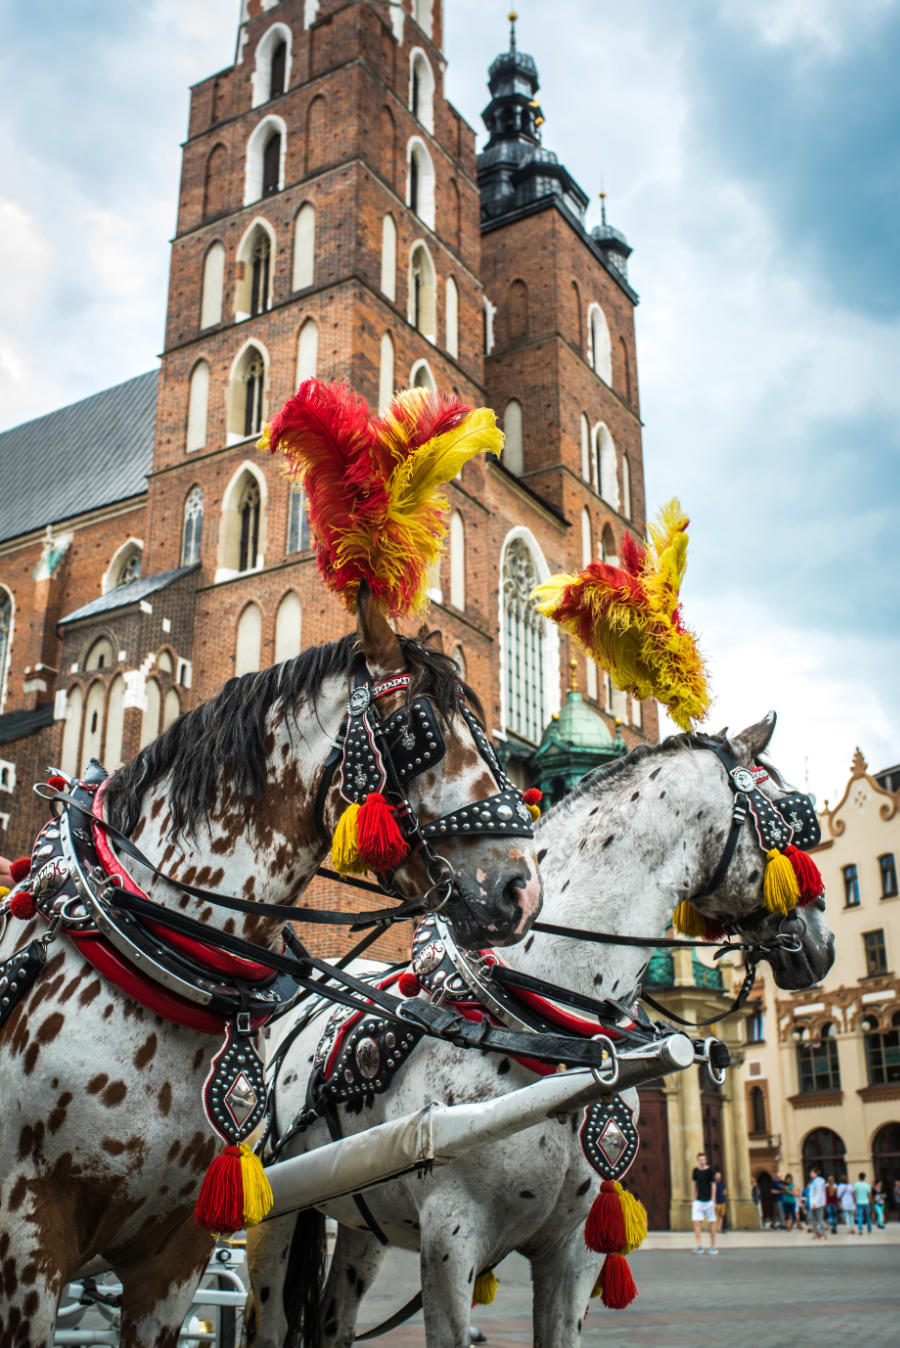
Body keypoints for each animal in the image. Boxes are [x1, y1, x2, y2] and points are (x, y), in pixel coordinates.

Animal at [244, 714, 835, 1348]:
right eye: (791, 818)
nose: (823, 944)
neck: (547, 1029)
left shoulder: (575, 1250)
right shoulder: (450, 1239)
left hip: (362, 1215)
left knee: (333, 1319)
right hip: (270, 1206)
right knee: (268, 1320)